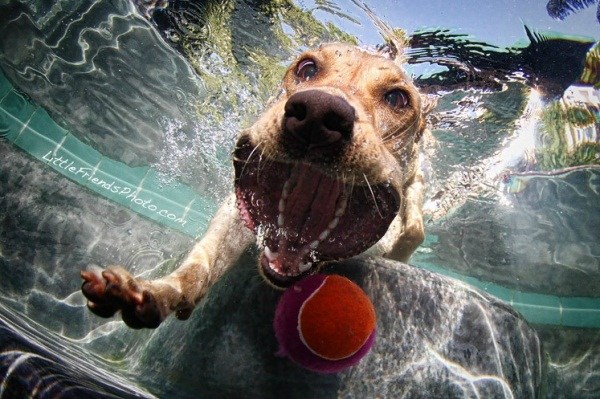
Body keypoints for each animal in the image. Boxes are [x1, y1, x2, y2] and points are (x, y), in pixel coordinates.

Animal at [82, 42, 434, 330]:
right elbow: (200, 264)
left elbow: (413, 229)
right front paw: (157, 293)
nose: (318, 113)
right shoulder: (235, 214)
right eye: (307, 68)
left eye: (397, 98)